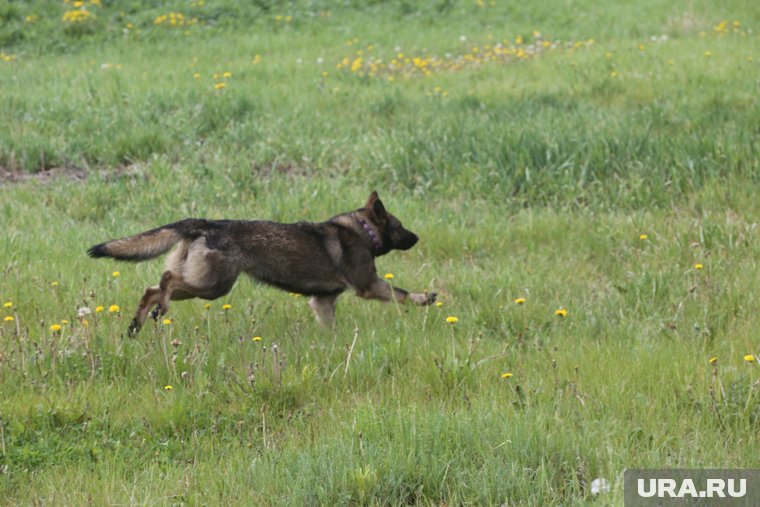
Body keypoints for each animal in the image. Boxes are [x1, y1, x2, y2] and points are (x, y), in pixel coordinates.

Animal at [87, 192, 436, 336]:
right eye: (400, 226)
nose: (418, 237)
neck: (363, 230)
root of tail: (205, 224)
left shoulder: (322, 302)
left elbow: (330, 328)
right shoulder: (368, 285)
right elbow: (401, 293)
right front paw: (424, 298)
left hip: (205, 284)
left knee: (152, 288)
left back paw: (136, 326)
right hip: (213, 286)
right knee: (167, 279)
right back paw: (160, 309)